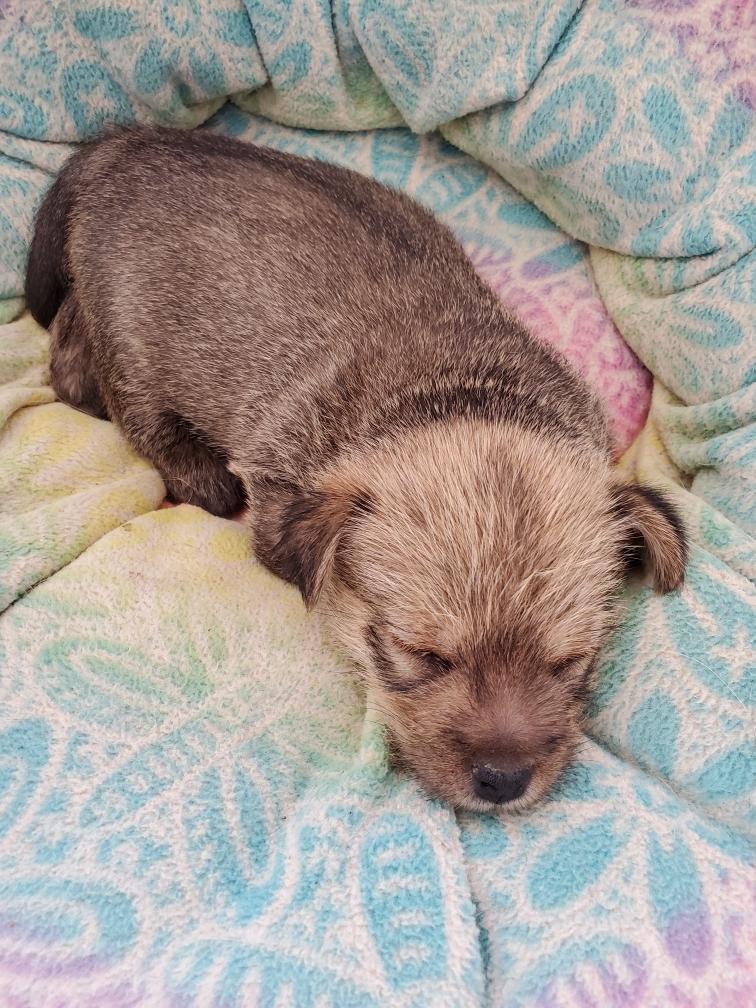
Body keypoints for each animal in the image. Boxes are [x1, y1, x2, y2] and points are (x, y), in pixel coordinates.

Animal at [25, 127, 687, 811]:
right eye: (420, 654)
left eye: (570, 662)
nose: (503, 781)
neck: (461, 393)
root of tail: (126, 141)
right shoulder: (277, 473)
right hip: (131, 335)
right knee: (103, 386)